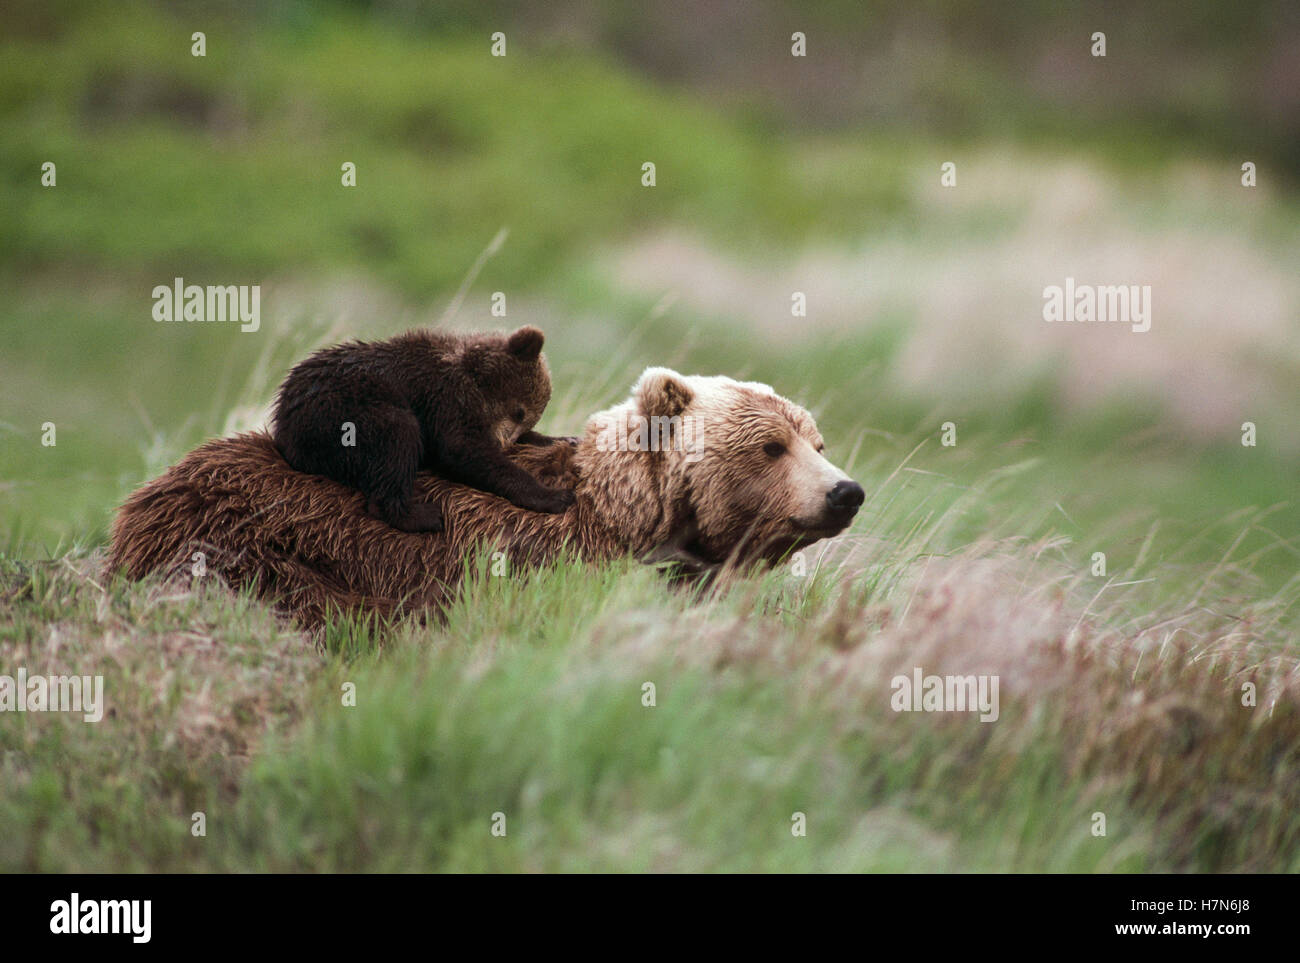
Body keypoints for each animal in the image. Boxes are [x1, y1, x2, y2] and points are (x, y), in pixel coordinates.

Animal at [271, 325, 575, 533]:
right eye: (519, 411)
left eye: (528, 420)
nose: (502, 442)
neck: (472, 374)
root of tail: (282, 424)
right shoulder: (443, 397)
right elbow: (463, 450)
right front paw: (555, 496)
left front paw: (564, 438)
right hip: (342, 412)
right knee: (397, 436)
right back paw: (424, 515)